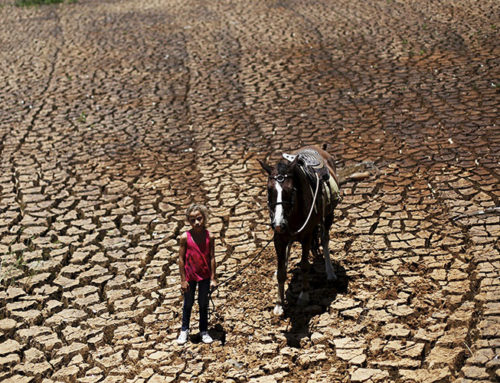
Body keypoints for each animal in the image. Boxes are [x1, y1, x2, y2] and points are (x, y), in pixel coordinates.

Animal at [260, 146, 342, 316]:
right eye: (269, 190)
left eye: (291, 190)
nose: (278, 223)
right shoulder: (279, 238)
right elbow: (281, 271)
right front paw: (279, 304)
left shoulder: (307, 237)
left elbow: (305, 266)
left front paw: (303, 296)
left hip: (329, 215)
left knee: (325, 239)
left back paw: (330, 272)